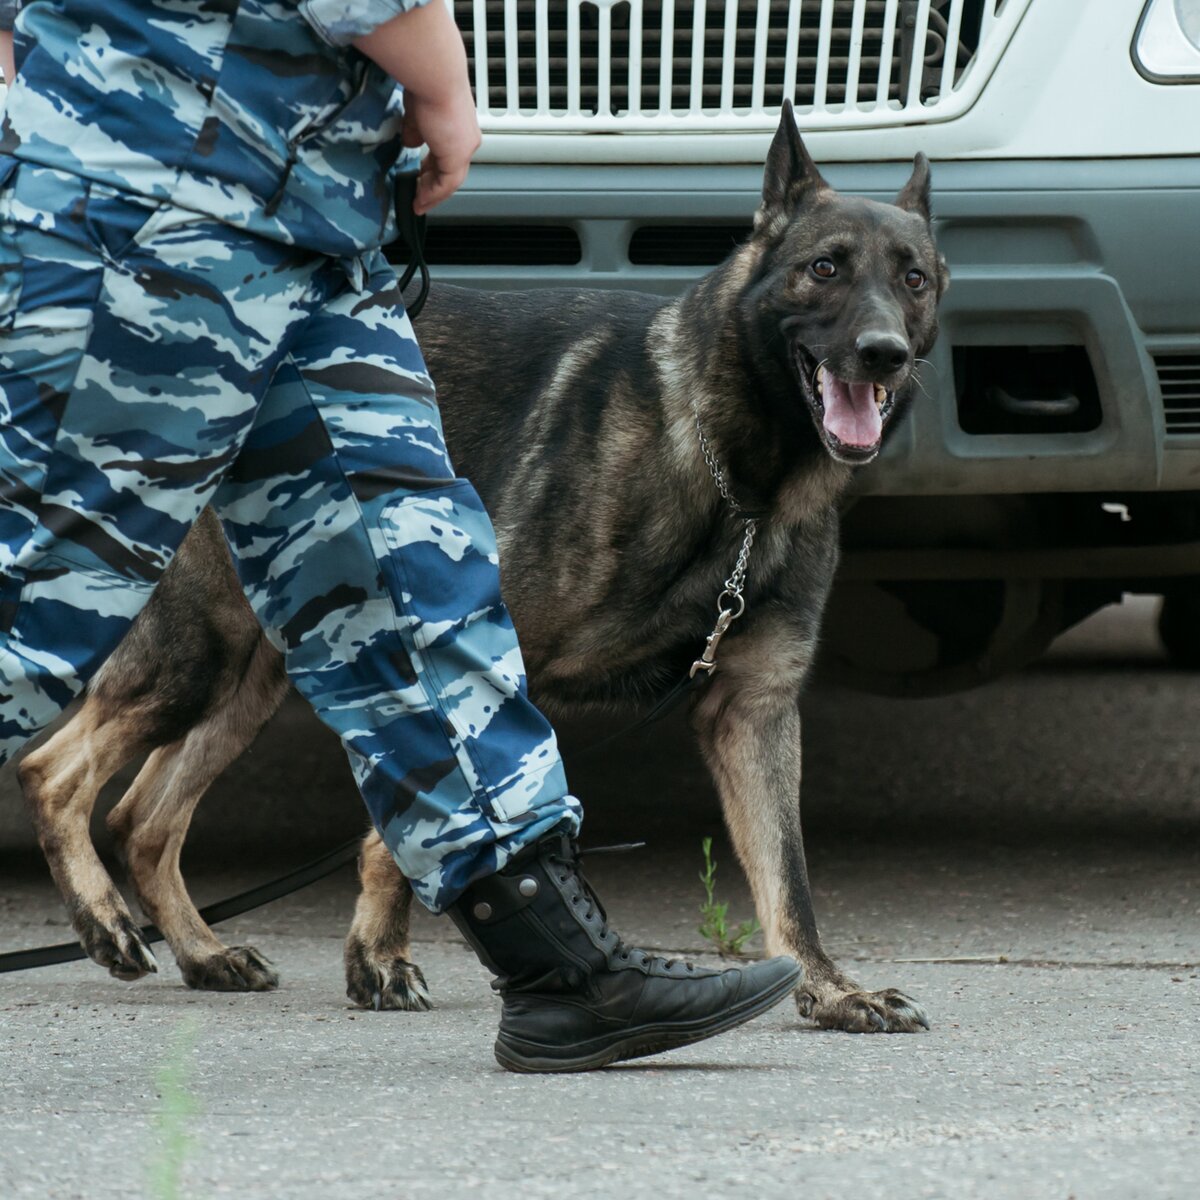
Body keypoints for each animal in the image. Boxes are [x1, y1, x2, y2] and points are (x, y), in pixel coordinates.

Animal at [11, 105, 945, 1032]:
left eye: (915, 279)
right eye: (823, 268)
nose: (883, 353)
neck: (740, 480)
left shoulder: (751, 714)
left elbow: (787, 873)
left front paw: (829, 988)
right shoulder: (478, 659)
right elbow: (418, 829)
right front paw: (380, 956)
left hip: (253, 677)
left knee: (141, 818)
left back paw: (202, 951)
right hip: (195, 655)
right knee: (52, 772)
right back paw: (103, 920)